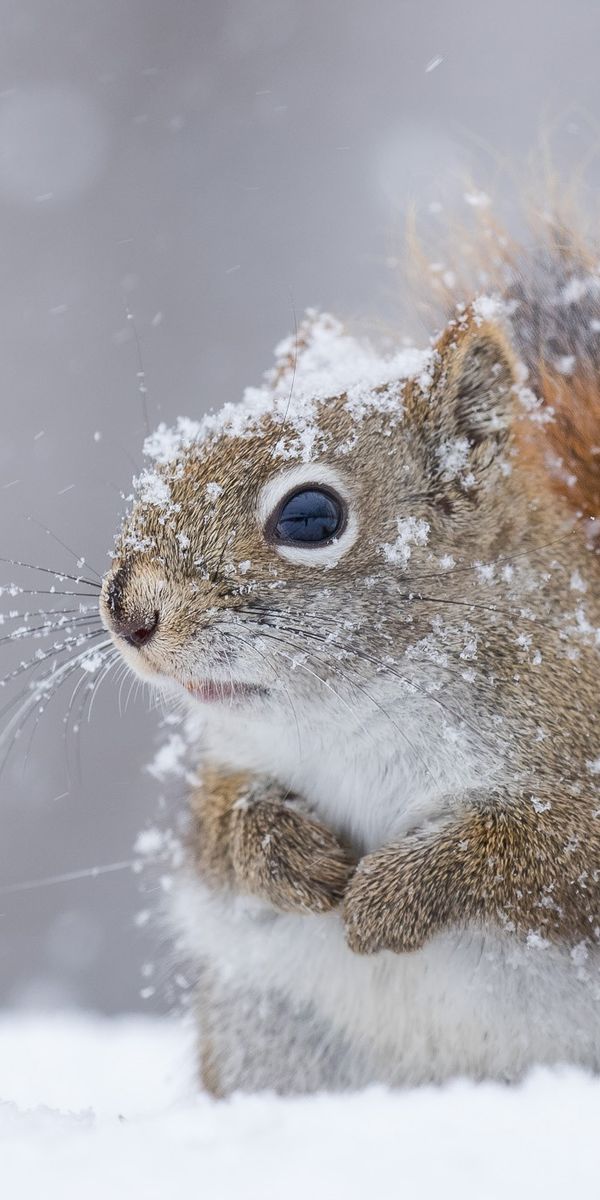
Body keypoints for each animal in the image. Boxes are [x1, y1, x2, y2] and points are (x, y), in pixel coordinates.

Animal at [102, 216, 600, 1099]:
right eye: (169, 462)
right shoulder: (227, 765)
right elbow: (213, 830)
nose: (127, 609)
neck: (360, 709)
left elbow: (546, 851)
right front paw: (286, 856)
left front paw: (392, 896)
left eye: (309, 516)